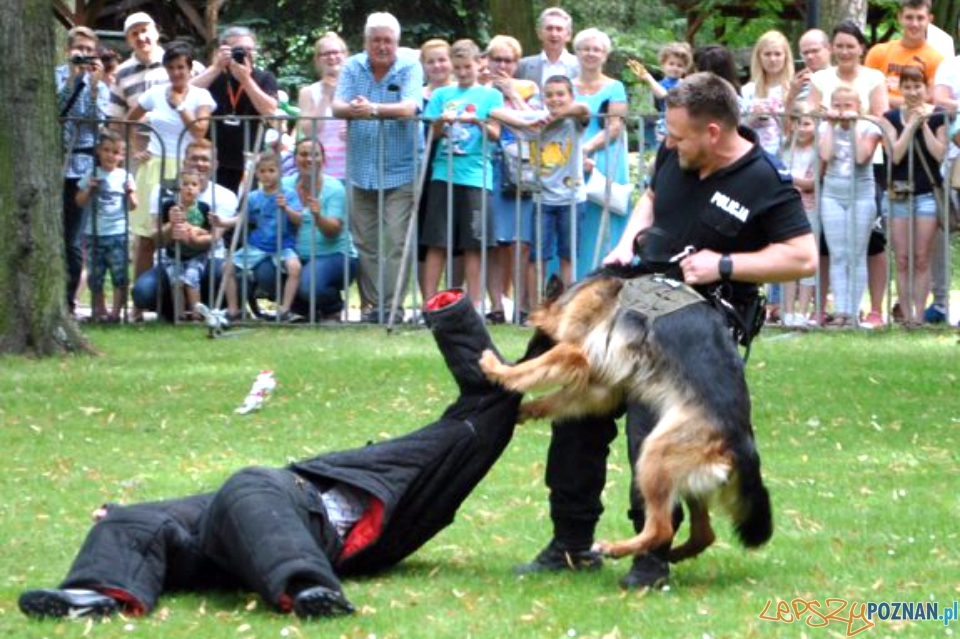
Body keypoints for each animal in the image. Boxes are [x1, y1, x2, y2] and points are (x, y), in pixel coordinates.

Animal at [480, 268, 772, 564]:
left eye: (537, 339)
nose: (520, 357)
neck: (577, 294)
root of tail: (741, 442)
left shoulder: (577, 353)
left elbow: (550, 360)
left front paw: (499, 369)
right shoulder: (601, 389)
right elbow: (559, 400)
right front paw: (525, 409)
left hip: (655, 455)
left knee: (662, 529)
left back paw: (615, 548)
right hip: (686, 478)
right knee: (704, 534)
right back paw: (672, 555)